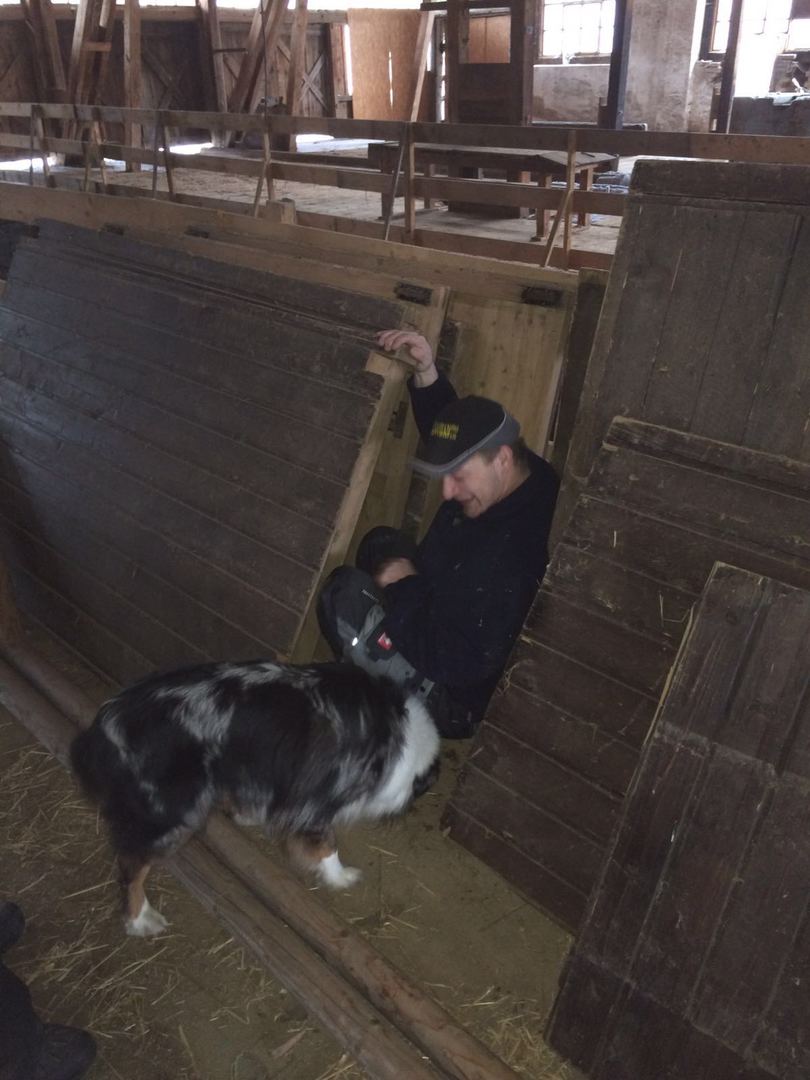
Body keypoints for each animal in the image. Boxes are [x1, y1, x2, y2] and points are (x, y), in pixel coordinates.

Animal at [70, 661, 440, 937]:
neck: (398, 737)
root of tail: (108, 722)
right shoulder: (318, 802)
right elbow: (327, 846)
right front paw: (340, 877)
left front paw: (247, 814)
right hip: (173, 812)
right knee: (131, 863)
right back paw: (139, 919)